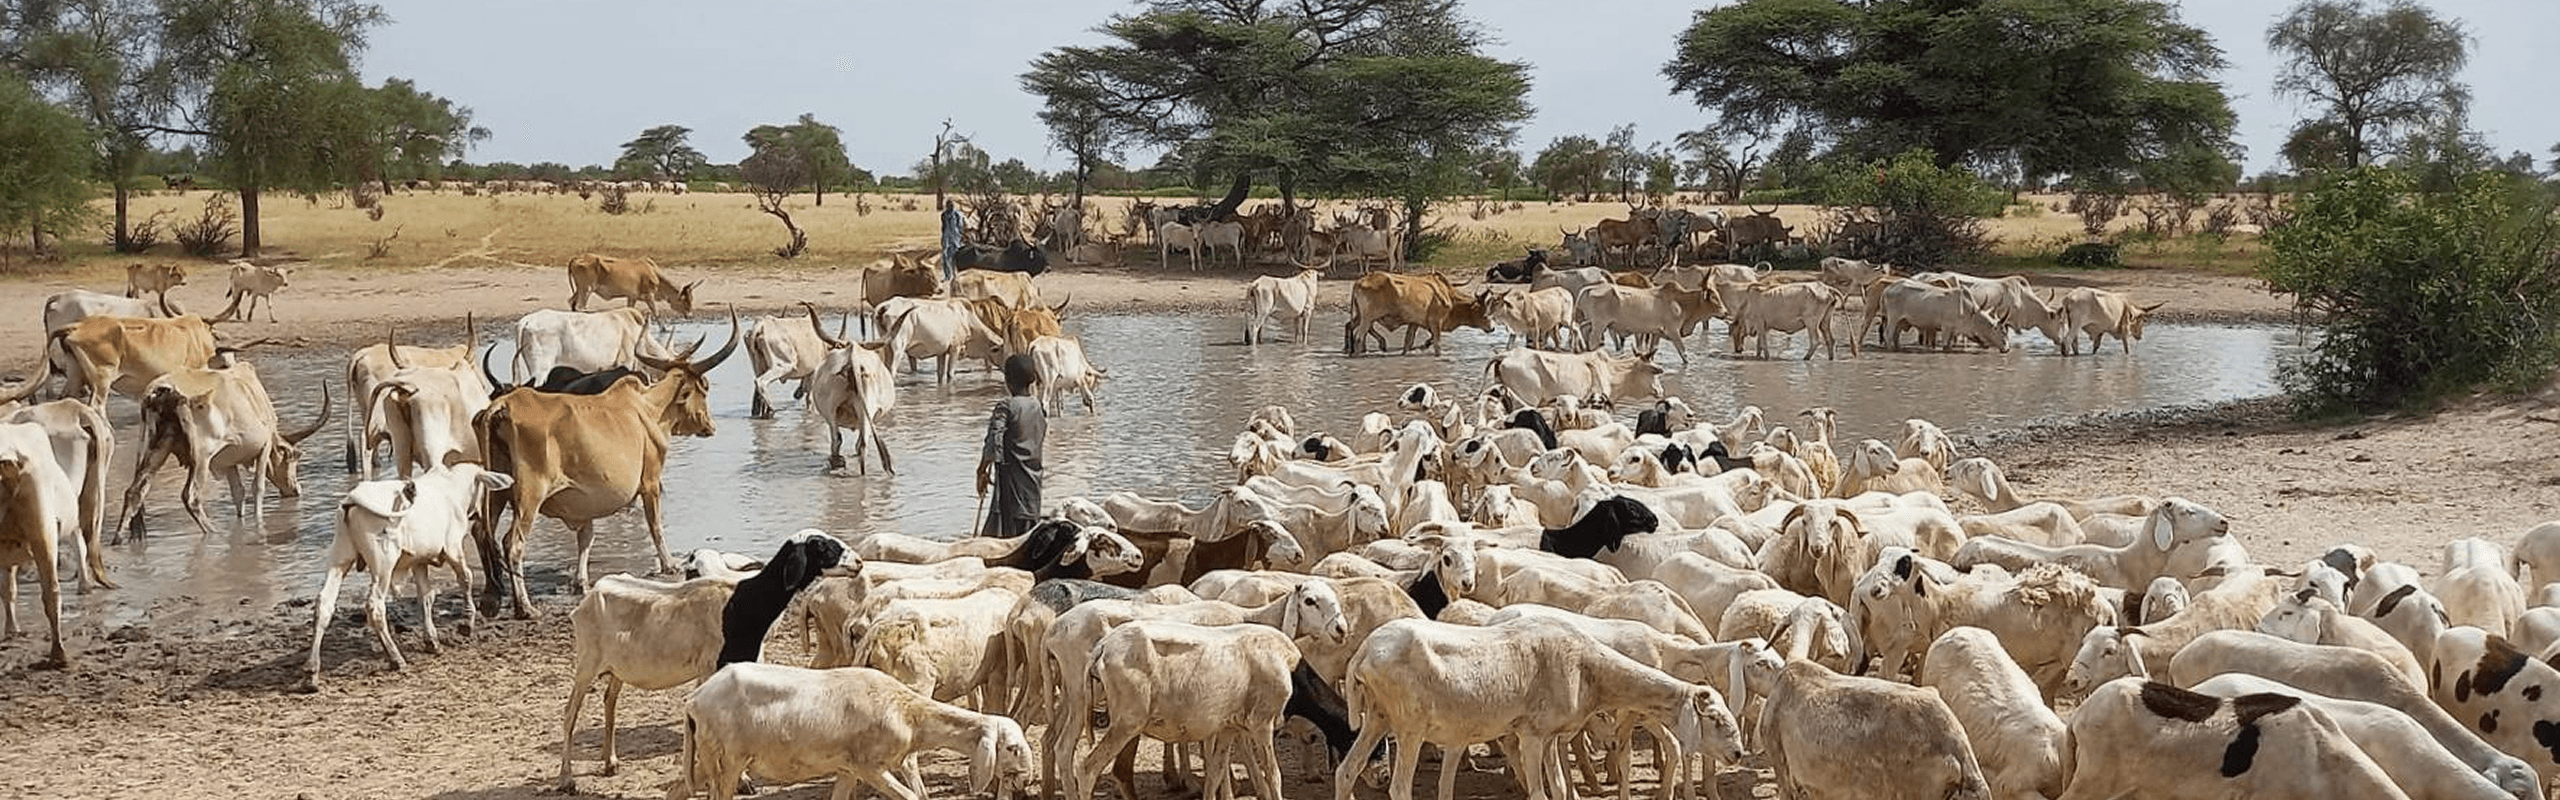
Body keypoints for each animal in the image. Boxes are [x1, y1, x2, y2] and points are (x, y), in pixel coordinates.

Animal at [120, 357, 331, 538]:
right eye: (294, 456)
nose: (295, 489)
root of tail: (162, 391)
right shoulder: (263, 447)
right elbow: (257, 488)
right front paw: (258, 524)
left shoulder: (228, 462)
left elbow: (238, 493)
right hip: (201, 458)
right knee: (191, 496)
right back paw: (212, 531)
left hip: (154, 449)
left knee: (134, 492)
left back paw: (120, 539)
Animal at [565, 253, 700, 317]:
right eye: (685, 300)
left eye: (691, 298)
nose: (690, 315)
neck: (653, 272)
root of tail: (576, 258)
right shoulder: (649, 296)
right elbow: (656, 313)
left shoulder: (632, 297)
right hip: (587, 290)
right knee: (580, 307)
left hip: (580, 289)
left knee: (572, 303)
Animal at [807, 341, 896, 475]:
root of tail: (853, 356)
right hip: (864, 407)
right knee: (861, 444)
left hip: (831, 410)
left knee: (837, 439)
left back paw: (836, 463)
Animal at [1342, 272, 1490, 356]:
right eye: (1483, 312)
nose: (1492, 328)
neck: (1449, 296)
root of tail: (1359, 281)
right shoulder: (1435, 321)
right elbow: (1437, 343)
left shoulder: (1415, 322)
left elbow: (1408, 341)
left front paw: (1409, 351)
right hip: (1368, 318)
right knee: (1359, 337)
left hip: (1361, 316)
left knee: (1350, 326)